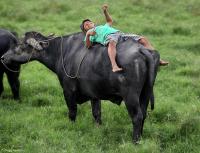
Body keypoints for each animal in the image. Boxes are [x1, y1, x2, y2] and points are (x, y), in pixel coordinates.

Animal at [1, 31, 160, 143]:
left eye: (20, 44)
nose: (3, 57)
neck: (62, 52)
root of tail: (141, 50)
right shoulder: (94, 94)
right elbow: (96, 113)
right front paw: (97, 129)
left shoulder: (68, 90)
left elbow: (72, 112)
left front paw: (71, 127)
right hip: (145, 93)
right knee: (143, 114)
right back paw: (140, 137)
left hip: (130, 96)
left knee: (137, 116)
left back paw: (135, 141)